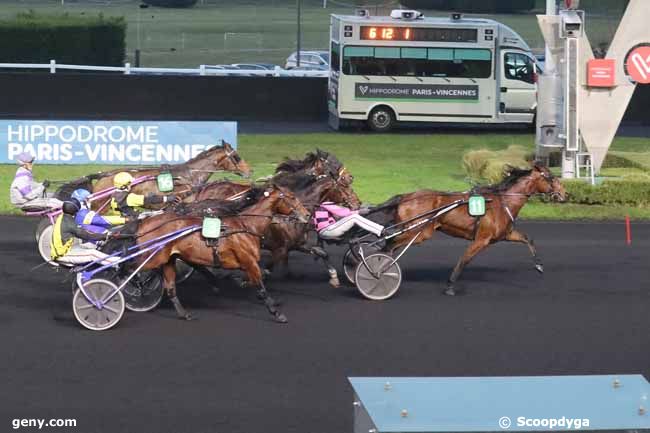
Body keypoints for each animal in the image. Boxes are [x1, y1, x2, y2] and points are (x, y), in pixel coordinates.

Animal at [130, 184, 310, 322]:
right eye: (292, 197)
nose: (307, 214)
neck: (246, 225)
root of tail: (145, 222)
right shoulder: (249, 261)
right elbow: (261, 286)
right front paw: (277, 313)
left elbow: (256, 278)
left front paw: (236, 281)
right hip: (152, 257)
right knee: (131, 269)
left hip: (168, 259)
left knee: (170, 287)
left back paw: (184, 313)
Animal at [372, 164, 564, 296]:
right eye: (551, 177)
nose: (564, 194)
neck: (502, 202)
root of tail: (406, 196)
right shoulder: (481, 239)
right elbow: (464, 260)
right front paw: (450, 286)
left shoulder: (505, 234)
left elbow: (527, 238)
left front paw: (539, 265)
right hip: (419, 232)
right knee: (390, 245)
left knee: (390, 245)